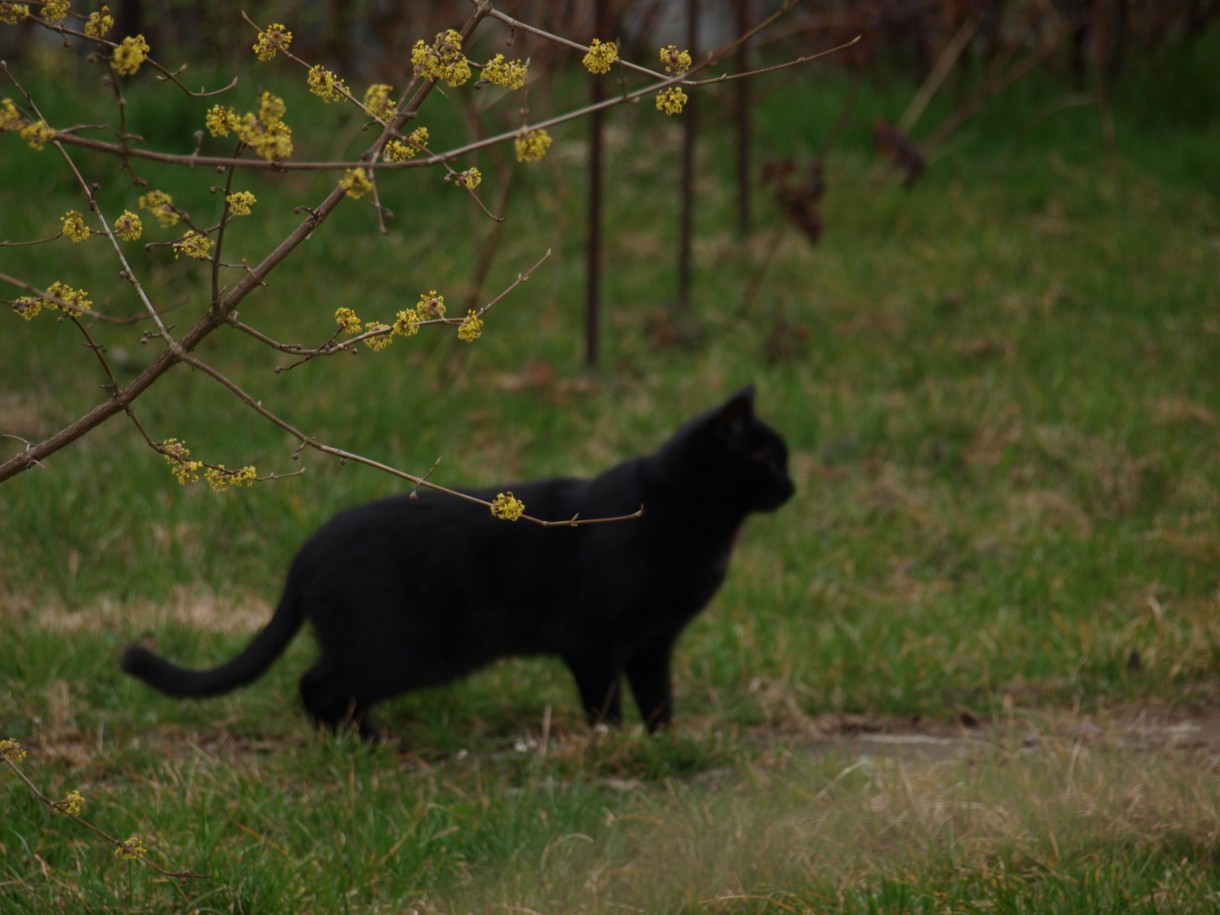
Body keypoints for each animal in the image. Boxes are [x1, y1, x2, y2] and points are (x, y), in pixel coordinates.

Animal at [118, 385, 795, 736]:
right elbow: (604, 705)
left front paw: (660, 745)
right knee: (317, 683)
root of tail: (306, 552)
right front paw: (612, 747)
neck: (686, 517)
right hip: (400, 651)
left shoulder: (654, 644)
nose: (794, 487)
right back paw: (363, 742)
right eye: (769, 460)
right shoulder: (594, 642)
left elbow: (659, 700)